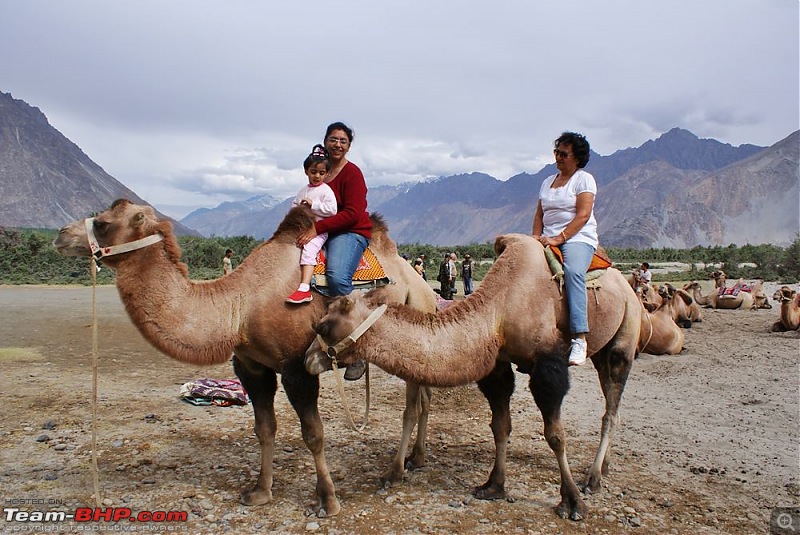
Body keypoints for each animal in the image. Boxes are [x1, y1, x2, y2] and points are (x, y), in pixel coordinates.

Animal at [51, 199, 438, 516]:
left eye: (103, 222)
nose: (60, 235)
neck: (241, 307)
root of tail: (421, 285)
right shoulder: (251, 366)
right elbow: (264, 429)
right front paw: (260, 492)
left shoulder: (297, 367)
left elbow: (313, 434)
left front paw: (327, 500)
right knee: (425, 400)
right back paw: (416, 458)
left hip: (414, 325)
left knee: (411, 406)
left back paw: (394, 471)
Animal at [304, 232, 640, 520]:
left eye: (323, 326)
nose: (307, 358)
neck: (499, 310)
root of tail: (626, 284)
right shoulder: (498, 366)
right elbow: (500, 427)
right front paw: (493, 485)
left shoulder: (548, 366)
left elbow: (555, 435)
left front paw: (572, 502)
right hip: (601, 352)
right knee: (610, 403)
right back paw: (605, 467)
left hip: (624, 337)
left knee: (611, 405)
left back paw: (593, 478)